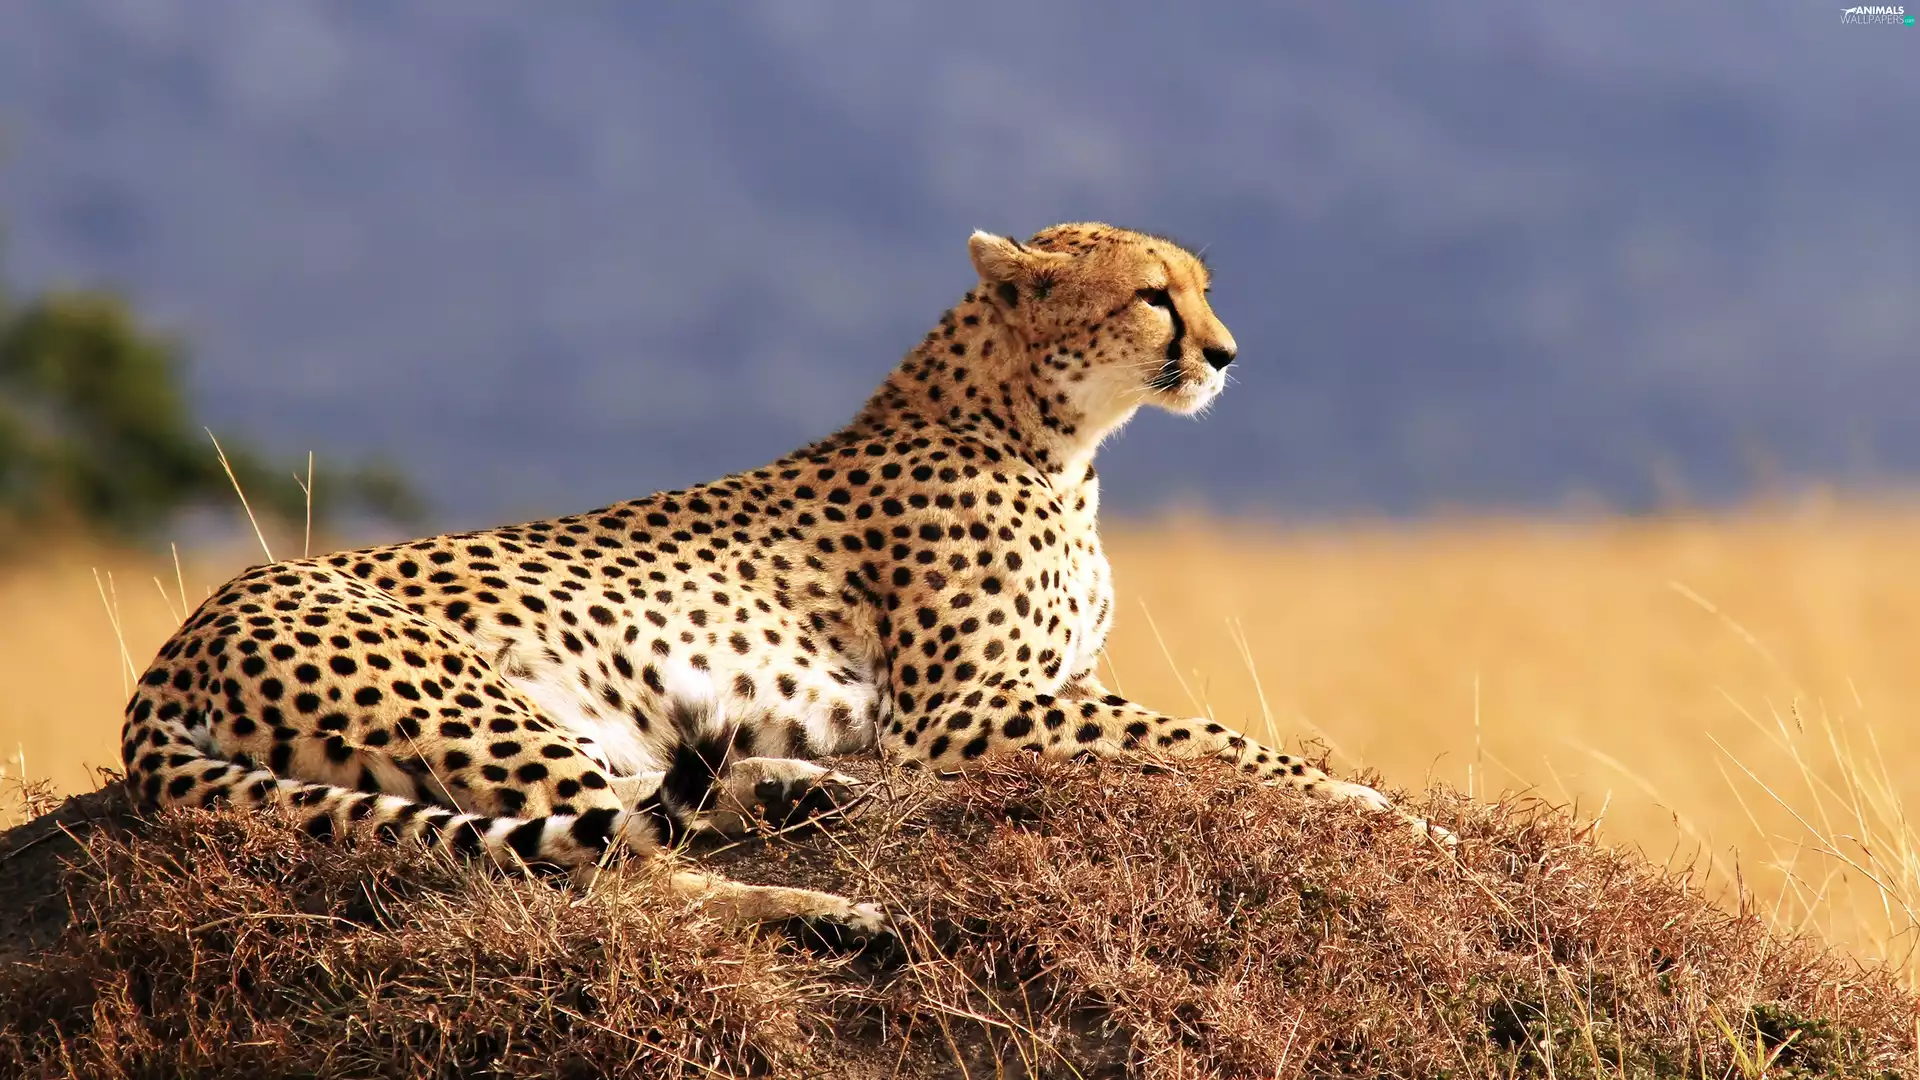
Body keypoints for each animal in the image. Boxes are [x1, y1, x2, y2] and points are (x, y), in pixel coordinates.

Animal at [121, 222, 1449, 942]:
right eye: (1153, 295)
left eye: (1204, 289)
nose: (1225, 354)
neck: (1049, 436)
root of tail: (176, 644)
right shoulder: (961, 712)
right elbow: (1213, 737)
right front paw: (1389, 813)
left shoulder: (1033, 692)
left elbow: (1197, 734)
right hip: (474, 705)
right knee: (611, 875)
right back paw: (823, 906)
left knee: (646, 808)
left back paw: (804, 796)